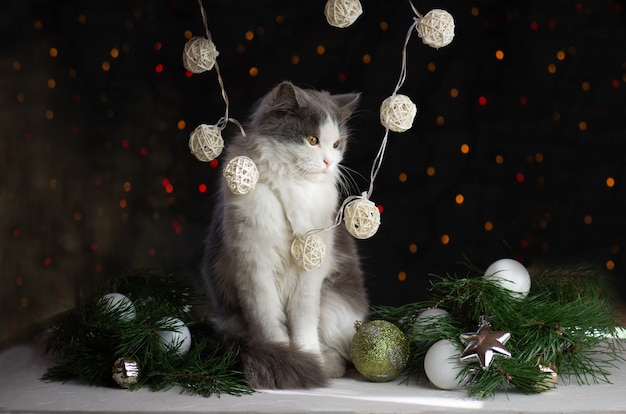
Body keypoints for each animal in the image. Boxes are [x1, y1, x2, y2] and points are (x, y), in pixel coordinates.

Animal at [200, 80, 368, 388]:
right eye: (312, 140)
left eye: (336, 144)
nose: (329, 162)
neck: (293, 186)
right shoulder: (254, 266)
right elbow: (269, 323)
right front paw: (287, 361)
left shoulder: (310, 274)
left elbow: (303, 323)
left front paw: (309, 361)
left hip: (334, 305)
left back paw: (328, 365)